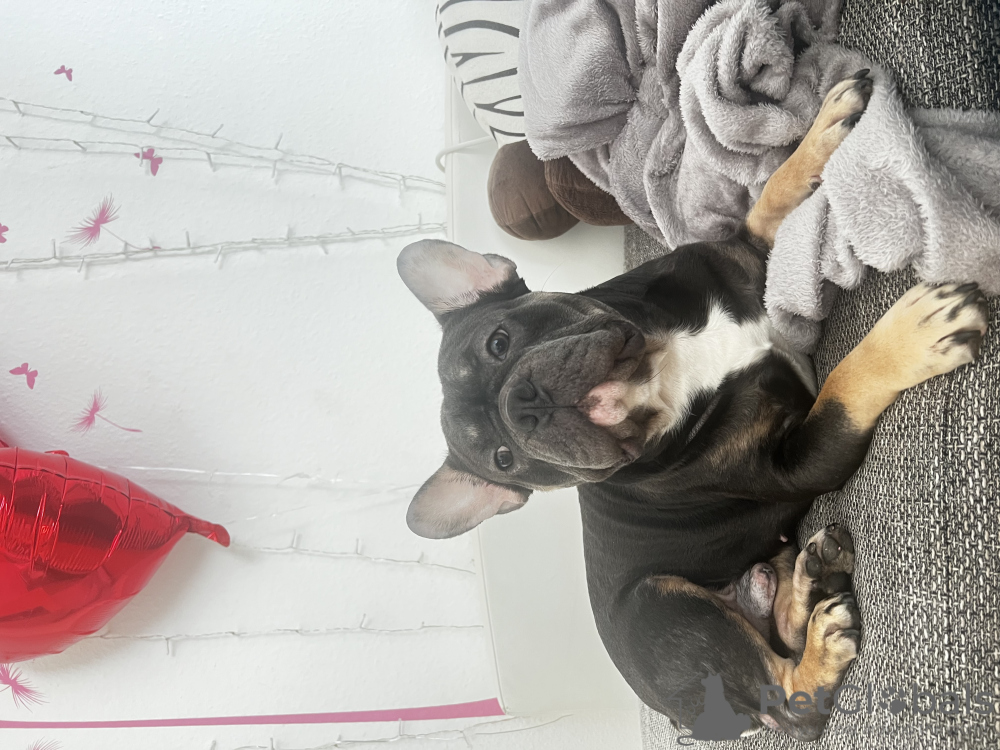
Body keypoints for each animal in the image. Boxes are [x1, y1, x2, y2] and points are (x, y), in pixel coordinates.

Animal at [395, 70, 989, 740]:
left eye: (499, 342)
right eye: (504, 461)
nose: (523, 411)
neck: (658, 370)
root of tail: (691, 722)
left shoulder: (745, 255)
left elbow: (767, 201)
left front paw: (823, 129)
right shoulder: (800, 462)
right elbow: (842, 383)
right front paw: (912, 335)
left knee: (778, 628)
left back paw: (809, 581)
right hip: (666, 605)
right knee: (790, 707)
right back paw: (823, 644)